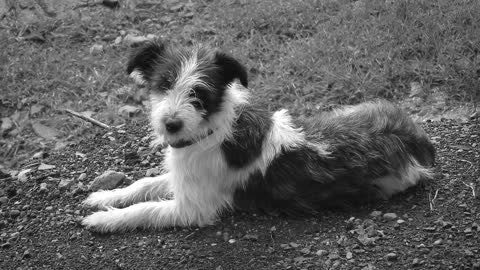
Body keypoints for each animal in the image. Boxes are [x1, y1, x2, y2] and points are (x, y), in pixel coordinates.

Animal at [81, 40, 436, 232]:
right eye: (163, 83)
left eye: (199, 93)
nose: (171, 124)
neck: (210, 131)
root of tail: (414, 139)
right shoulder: (185, 177)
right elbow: (145, 184)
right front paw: (106, 197)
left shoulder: (193, 207)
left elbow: (146, 209)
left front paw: (103, 220)